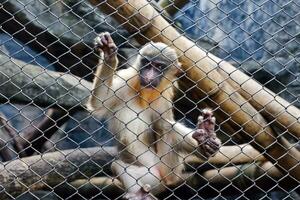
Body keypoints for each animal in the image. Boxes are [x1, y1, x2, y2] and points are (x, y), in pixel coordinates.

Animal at [86, 32, 220, 199]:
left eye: (158, 67)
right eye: (147, 64)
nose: (149, 75)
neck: (144, 93)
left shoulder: (163, 99)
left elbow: (163, 122)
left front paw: (205, 139)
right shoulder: (127, 79)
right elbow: (100, 102)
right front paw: (109, 54)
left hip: (167, 170)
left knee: (165, 126)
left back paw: (205, 139)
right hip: (148, 176)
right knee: (118, 165)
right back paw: (139, 195)